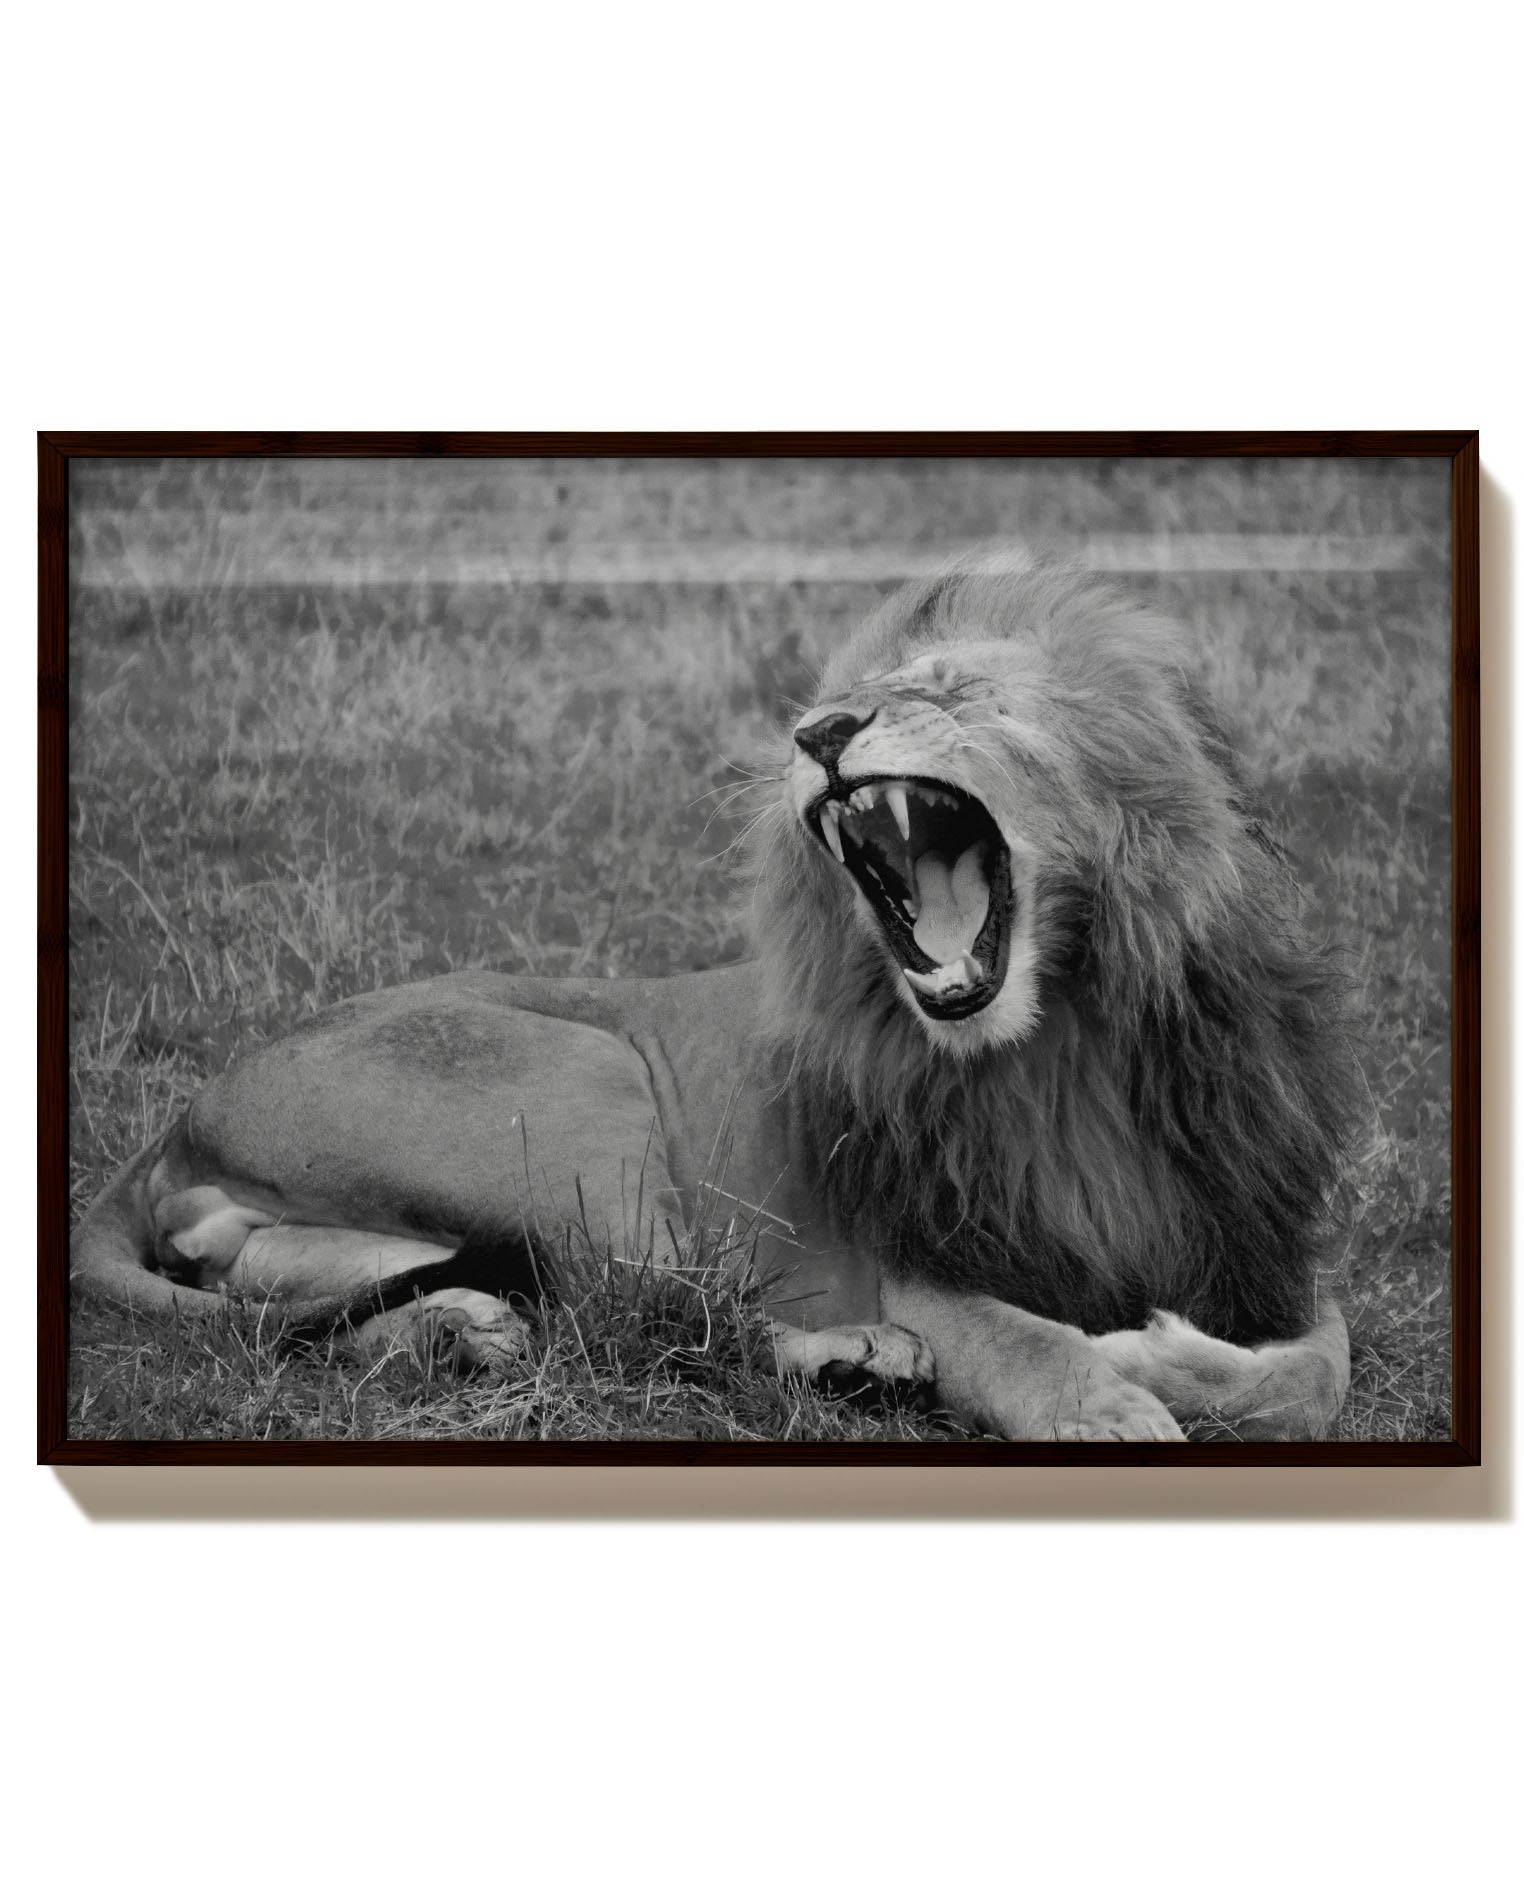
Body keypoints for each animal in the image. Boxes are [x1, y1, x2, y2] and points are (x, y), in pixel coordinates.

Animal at [71, 556, 1358, 1440]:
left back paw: (456, 1330)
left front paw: (1163, 1355)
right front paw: (1116, 1392)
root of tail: (185, 1111)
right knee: (649, 1309)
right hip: (587, 1088)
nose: (820, 730)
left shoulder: (1260, 1242)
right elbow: (1030, 1341)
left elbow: (1319, 1367)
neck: (1068, 1042)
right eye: (839, 696)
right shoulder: (927, 1262)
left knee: (287, 1276)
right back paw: (851, 1358)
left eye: (951, 687)